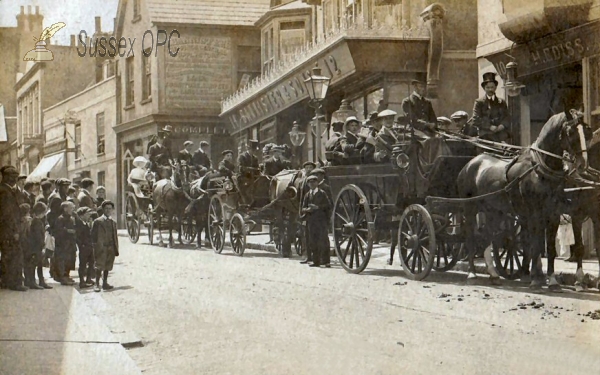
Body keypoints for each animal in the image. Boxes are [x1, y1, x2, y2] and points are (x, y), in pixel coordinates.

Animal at [458, 110, 588, 290]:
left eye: (586, 131)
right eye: (570, 132)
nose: (582, 164)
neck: (540, 170)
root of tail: (471, 163)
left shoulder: (553, 214)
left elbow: (549, 248)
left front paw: (552, 280)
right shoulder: (534, 213)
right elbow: (535, 245)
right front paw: (536, 278)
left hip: (494, 210)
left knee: (488, 235)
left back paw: (493, 274)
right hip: (470, 208)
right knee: (470, 236)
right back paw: (472, 273)